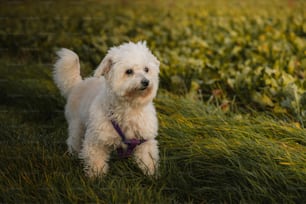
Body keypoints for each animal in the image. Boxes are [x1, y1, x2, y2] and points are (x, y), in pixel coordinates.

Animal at [53, 41, 160, 177]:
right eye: (129, 71)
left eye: (146, 69)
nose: (146, 82)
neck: (130, 107)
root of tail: (78, 84)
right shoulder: (96, 140)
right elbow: (96, 162)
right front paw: (96, 177)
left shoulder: (145, 141)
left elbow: (148, 159)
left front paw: (151, 175)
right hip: (76, 125)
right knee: (74, 140)